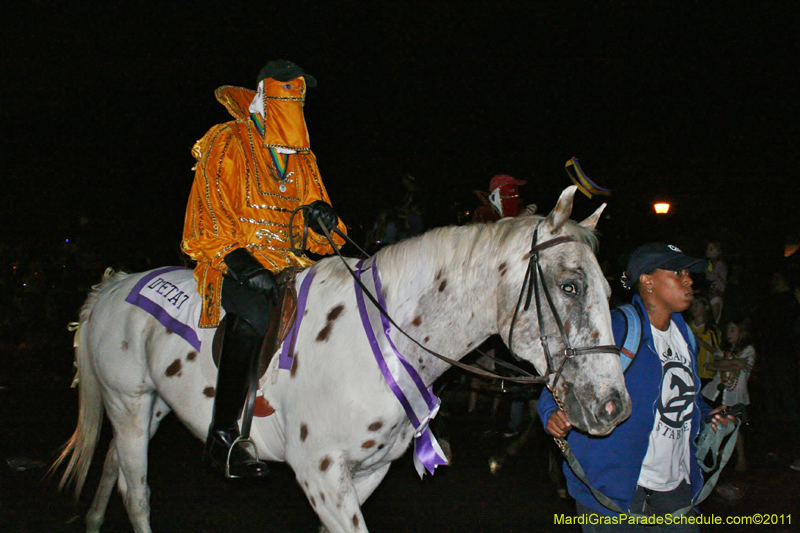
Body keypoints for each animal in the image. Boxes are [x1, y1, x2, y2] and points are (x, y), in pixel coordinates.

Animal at [54, 185, 632, 528]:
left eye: (610, 287)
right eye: (571, 285)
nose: (613, 406)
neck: (384, 339)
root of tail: (111, 287)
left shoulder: (364, 473)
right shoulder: (321, 474)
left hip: (150, 407)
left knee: (114, 467)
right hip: (128, 403)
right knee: (136, 490)